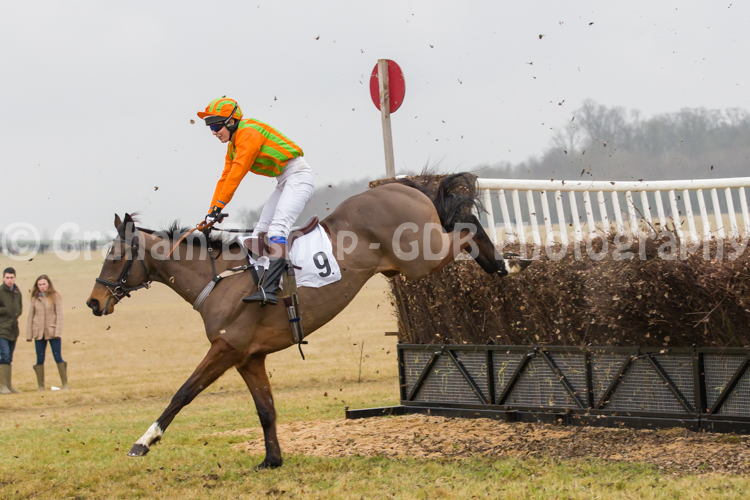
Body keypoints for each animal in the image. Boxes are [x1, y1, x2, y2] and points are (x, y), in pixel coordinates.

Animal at [86, 173, 530, 469]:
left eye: (114, 257)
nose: (93, 302)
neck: (219, 280)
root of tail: (405, 186)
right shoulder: (249, 358)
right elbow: (266, 410)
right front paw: (272, 459)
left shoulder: (225, 348)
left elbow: (182, 394)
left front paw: (143, 442)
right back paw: (503, 264)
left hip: (423, 256)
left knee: (465, 229)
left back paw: (508, 262)